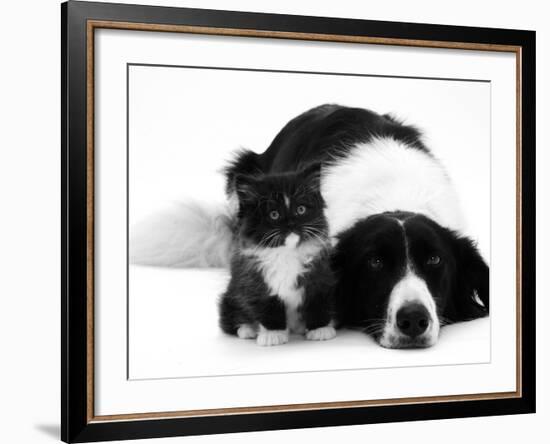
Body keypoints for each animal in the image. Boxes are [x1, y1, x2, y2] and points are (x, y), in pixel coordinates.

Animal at [220, 160, 336, 346]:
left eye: (301, 210)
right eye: (274, 214)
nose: (291, 224)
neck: (286, 252)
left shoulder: (319, 275)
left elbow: (317, 302)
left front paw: (320, 329)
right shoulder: (255, 281)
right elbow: (268, 306)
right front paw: (273, 334)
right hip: (230, 296)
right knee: (230, 319)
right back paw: (248, 329)